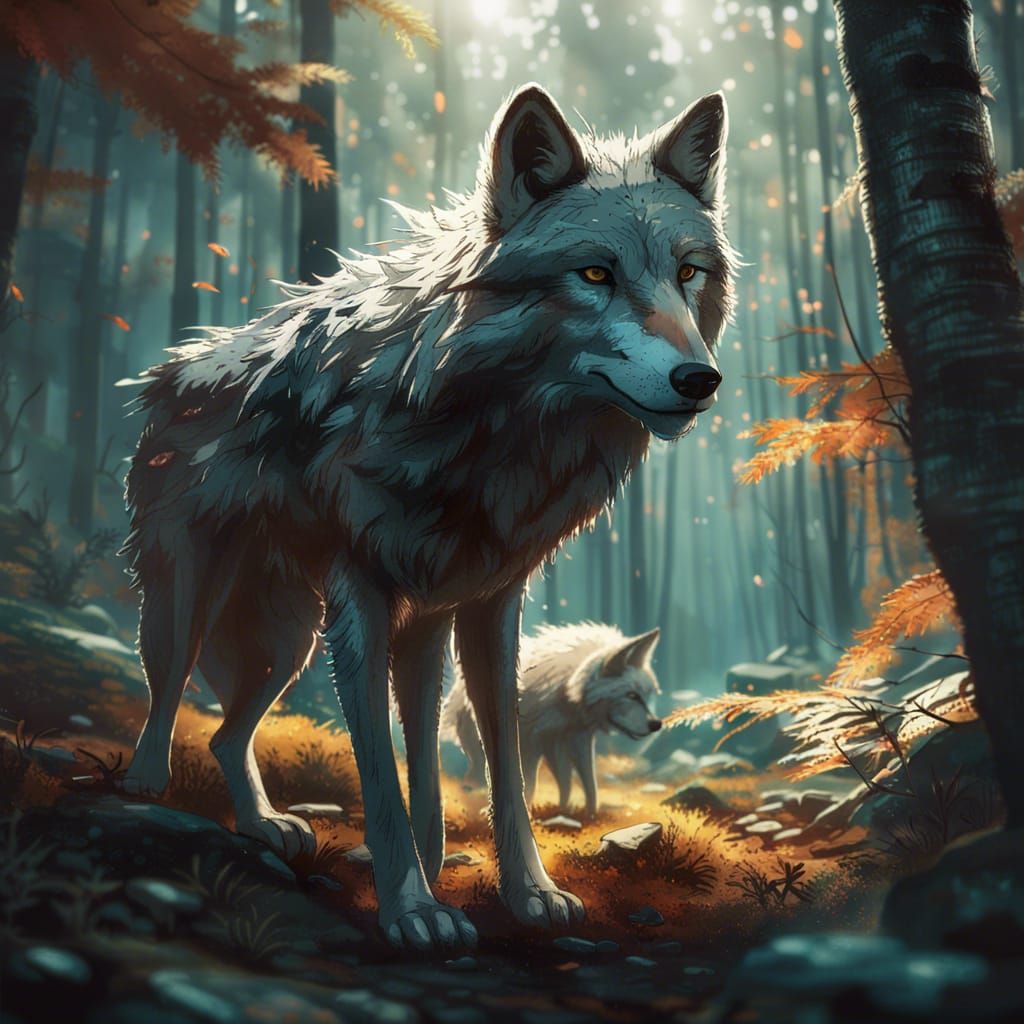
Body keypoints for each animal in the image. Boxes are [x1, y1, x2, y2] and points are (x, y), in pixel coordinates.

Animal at [442, 623, 663, 818]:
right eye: (632, 695)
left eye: (647, 694)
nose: (656, 724)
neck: (565, 689)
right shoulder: (527, 743)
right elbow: (528, 783)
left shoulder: (578, 738)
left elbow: (588, 783)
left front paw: (589, 814)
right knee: (479, 771)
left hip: (552, 751)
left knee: (563, 781)